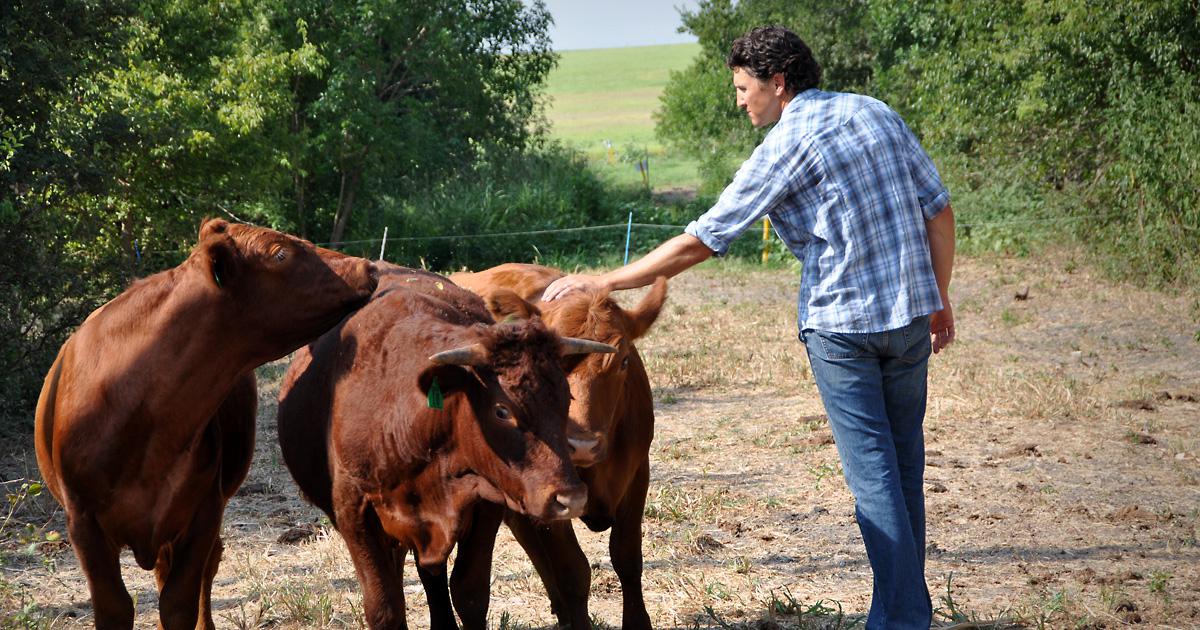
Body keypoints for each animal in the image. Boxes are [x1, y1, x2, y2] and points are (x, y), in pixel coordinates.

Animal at [35, 217, 374, 628]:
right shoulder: (83, 522)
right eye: (280, 253)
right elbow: (114, 605)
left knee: (203, 568)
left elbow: (179, 599)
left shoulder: (204, 509)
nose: (369, 267)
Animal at [274, 262, 614, 624]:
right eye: (502, 410)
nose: (571, 498)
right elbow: (385, 607)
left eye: (567, 398)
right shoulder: (355, 514)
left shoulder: (486, 505)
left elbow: (469, 593)